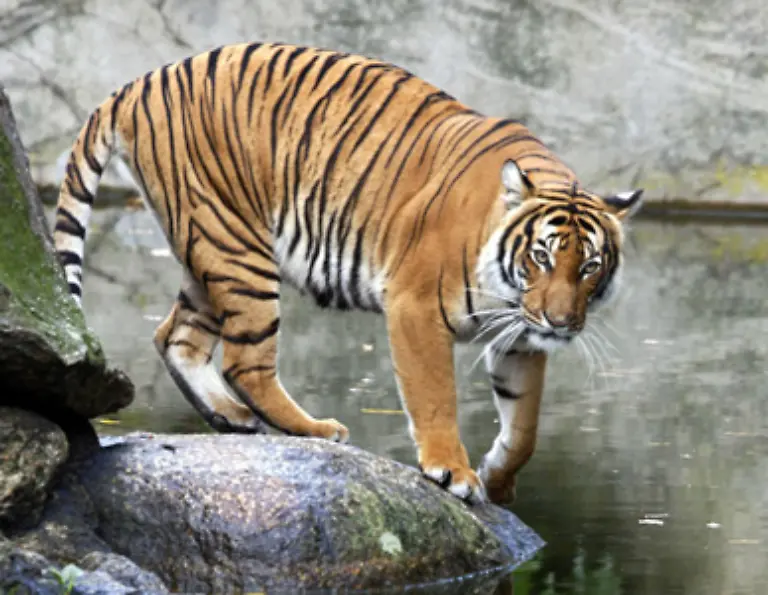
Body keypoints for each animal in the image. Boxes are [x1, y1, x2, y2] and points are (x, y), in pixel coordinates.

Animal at [53, 42, 643, 505]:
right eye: (542, 256)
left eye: (590, 267)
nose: (561, 322)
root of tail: (140, 83)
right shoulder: (415, 308)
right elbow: (436, 397)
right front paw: (453, 471)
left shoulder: (519, 336)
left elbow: (524, 427)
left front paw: (498, 480)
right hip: (239, 249)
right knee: (245, 361)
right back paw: (313, 428)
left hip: (209, 249)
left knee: (175, 336)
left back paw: (230, 418)